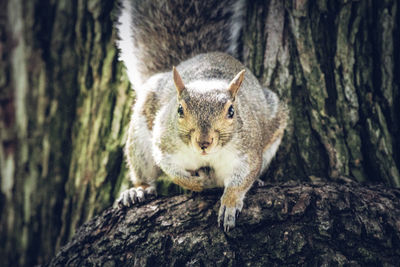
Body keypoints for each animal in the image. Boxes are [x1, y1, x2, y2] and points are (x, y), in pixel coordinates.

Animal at [115, 0, 288, 232]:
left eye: (231, 111)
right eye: (180, 109)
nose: (204, 142)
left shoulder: (248, 151)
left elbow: (243, 178)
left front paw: (230, 203)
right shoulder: (165, 144)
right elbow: (171, 169)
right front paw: (195, 183)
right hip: (141, 137)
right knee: (144, 173)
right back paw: (138, 190)